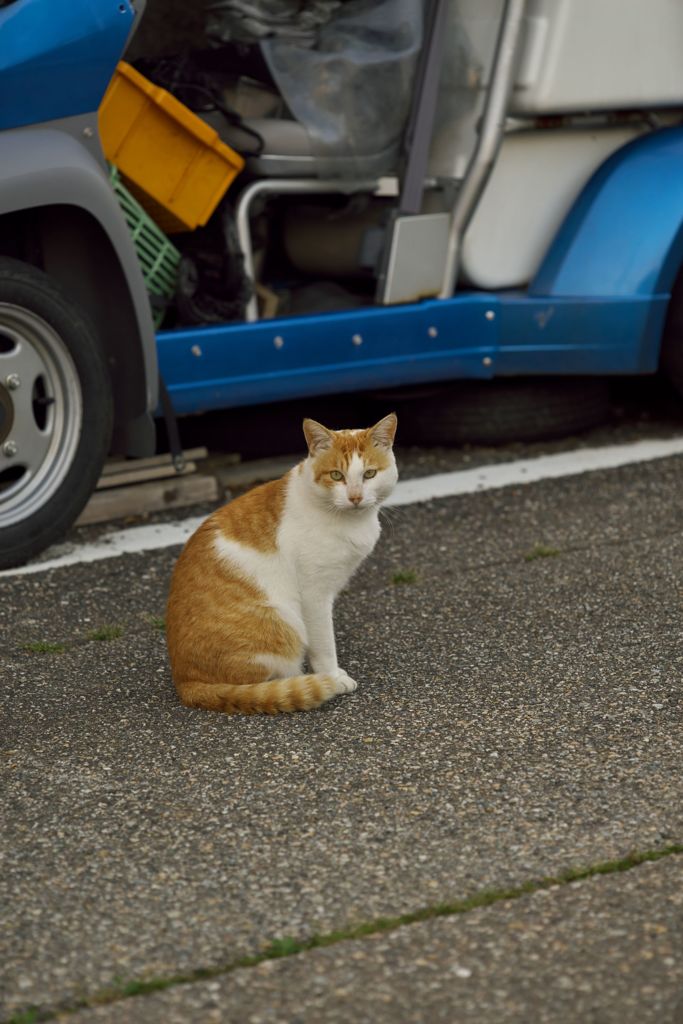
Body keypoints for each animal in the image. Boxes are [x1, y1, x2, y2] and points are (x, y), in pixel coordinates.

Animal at [165, 411, 397, 716]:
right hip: (283, 621)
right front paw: (332, 676)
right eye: (337, 475)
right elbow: (324, 644)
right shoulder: (314, 595)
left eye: (369, 474)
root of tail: (186, 682)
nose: (356, 497)